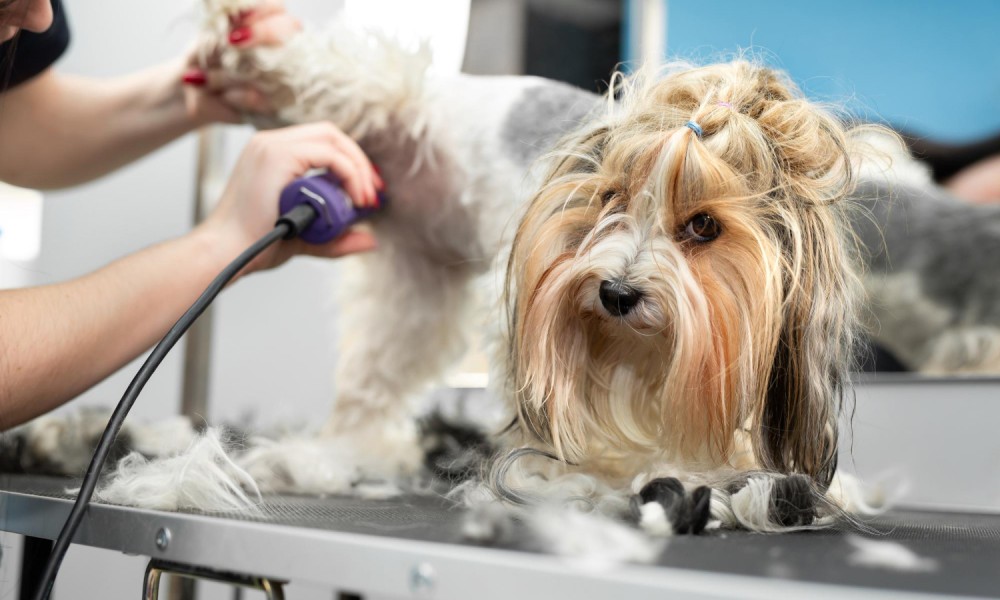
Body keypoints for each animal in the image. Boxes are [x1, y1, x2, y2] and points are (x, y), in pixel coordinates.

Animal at [1, 0, 892, 540]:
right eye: (608, 200)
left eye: (703, 228)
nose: (615, 291)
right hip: (374, 94)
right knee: (323, 69)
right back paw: (244, 37)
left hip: (412, 295)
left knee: (364, 400)